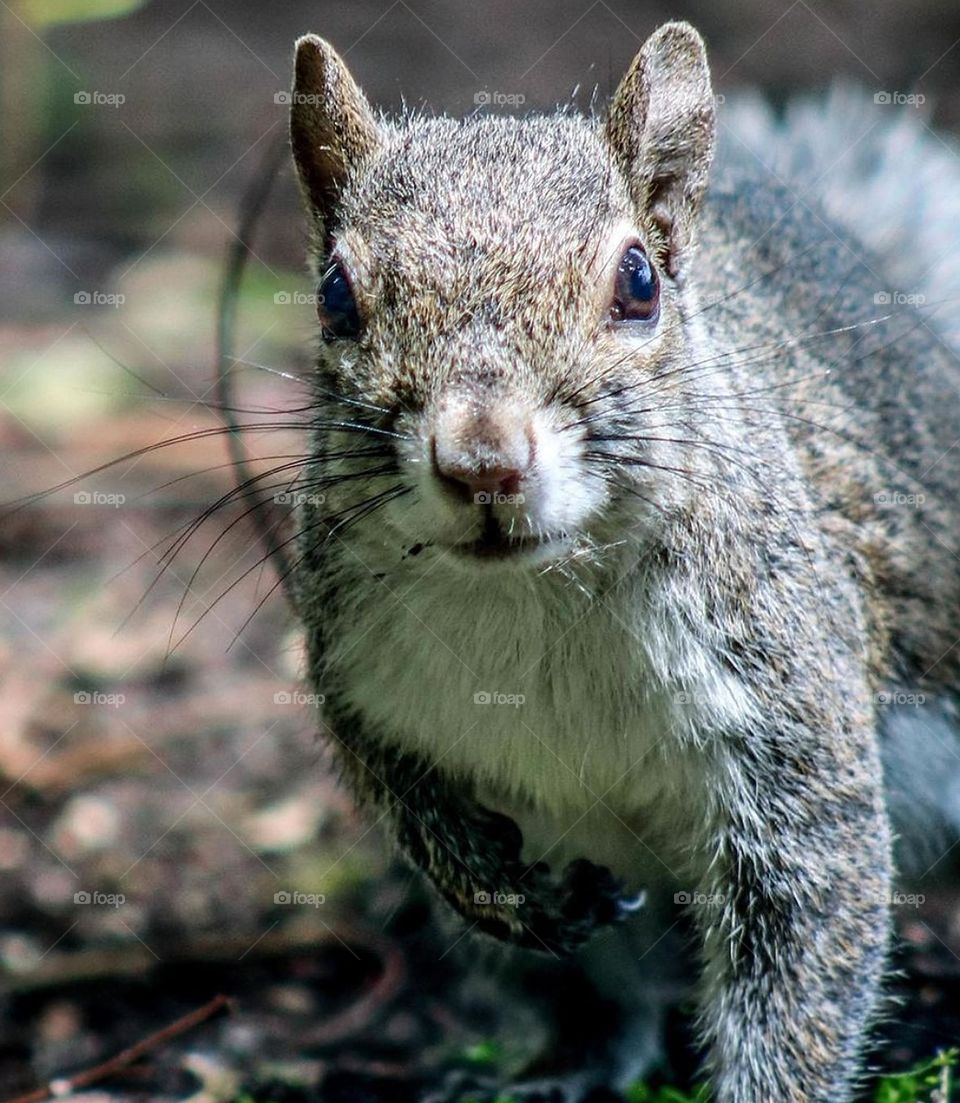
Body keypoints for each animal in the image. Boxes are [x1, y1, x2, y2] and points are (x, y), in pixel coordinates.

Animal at [284, 19, 960, 1103]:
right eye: (336, 295)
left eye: (639, 281)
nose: (483, 461)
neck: (532, 594)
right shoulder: (358, 685)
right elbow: (406, 803)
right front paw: (500, 889)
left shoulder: (791, 718)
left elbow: (802, 943)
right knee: (593, 998)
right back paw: (557, 1063)